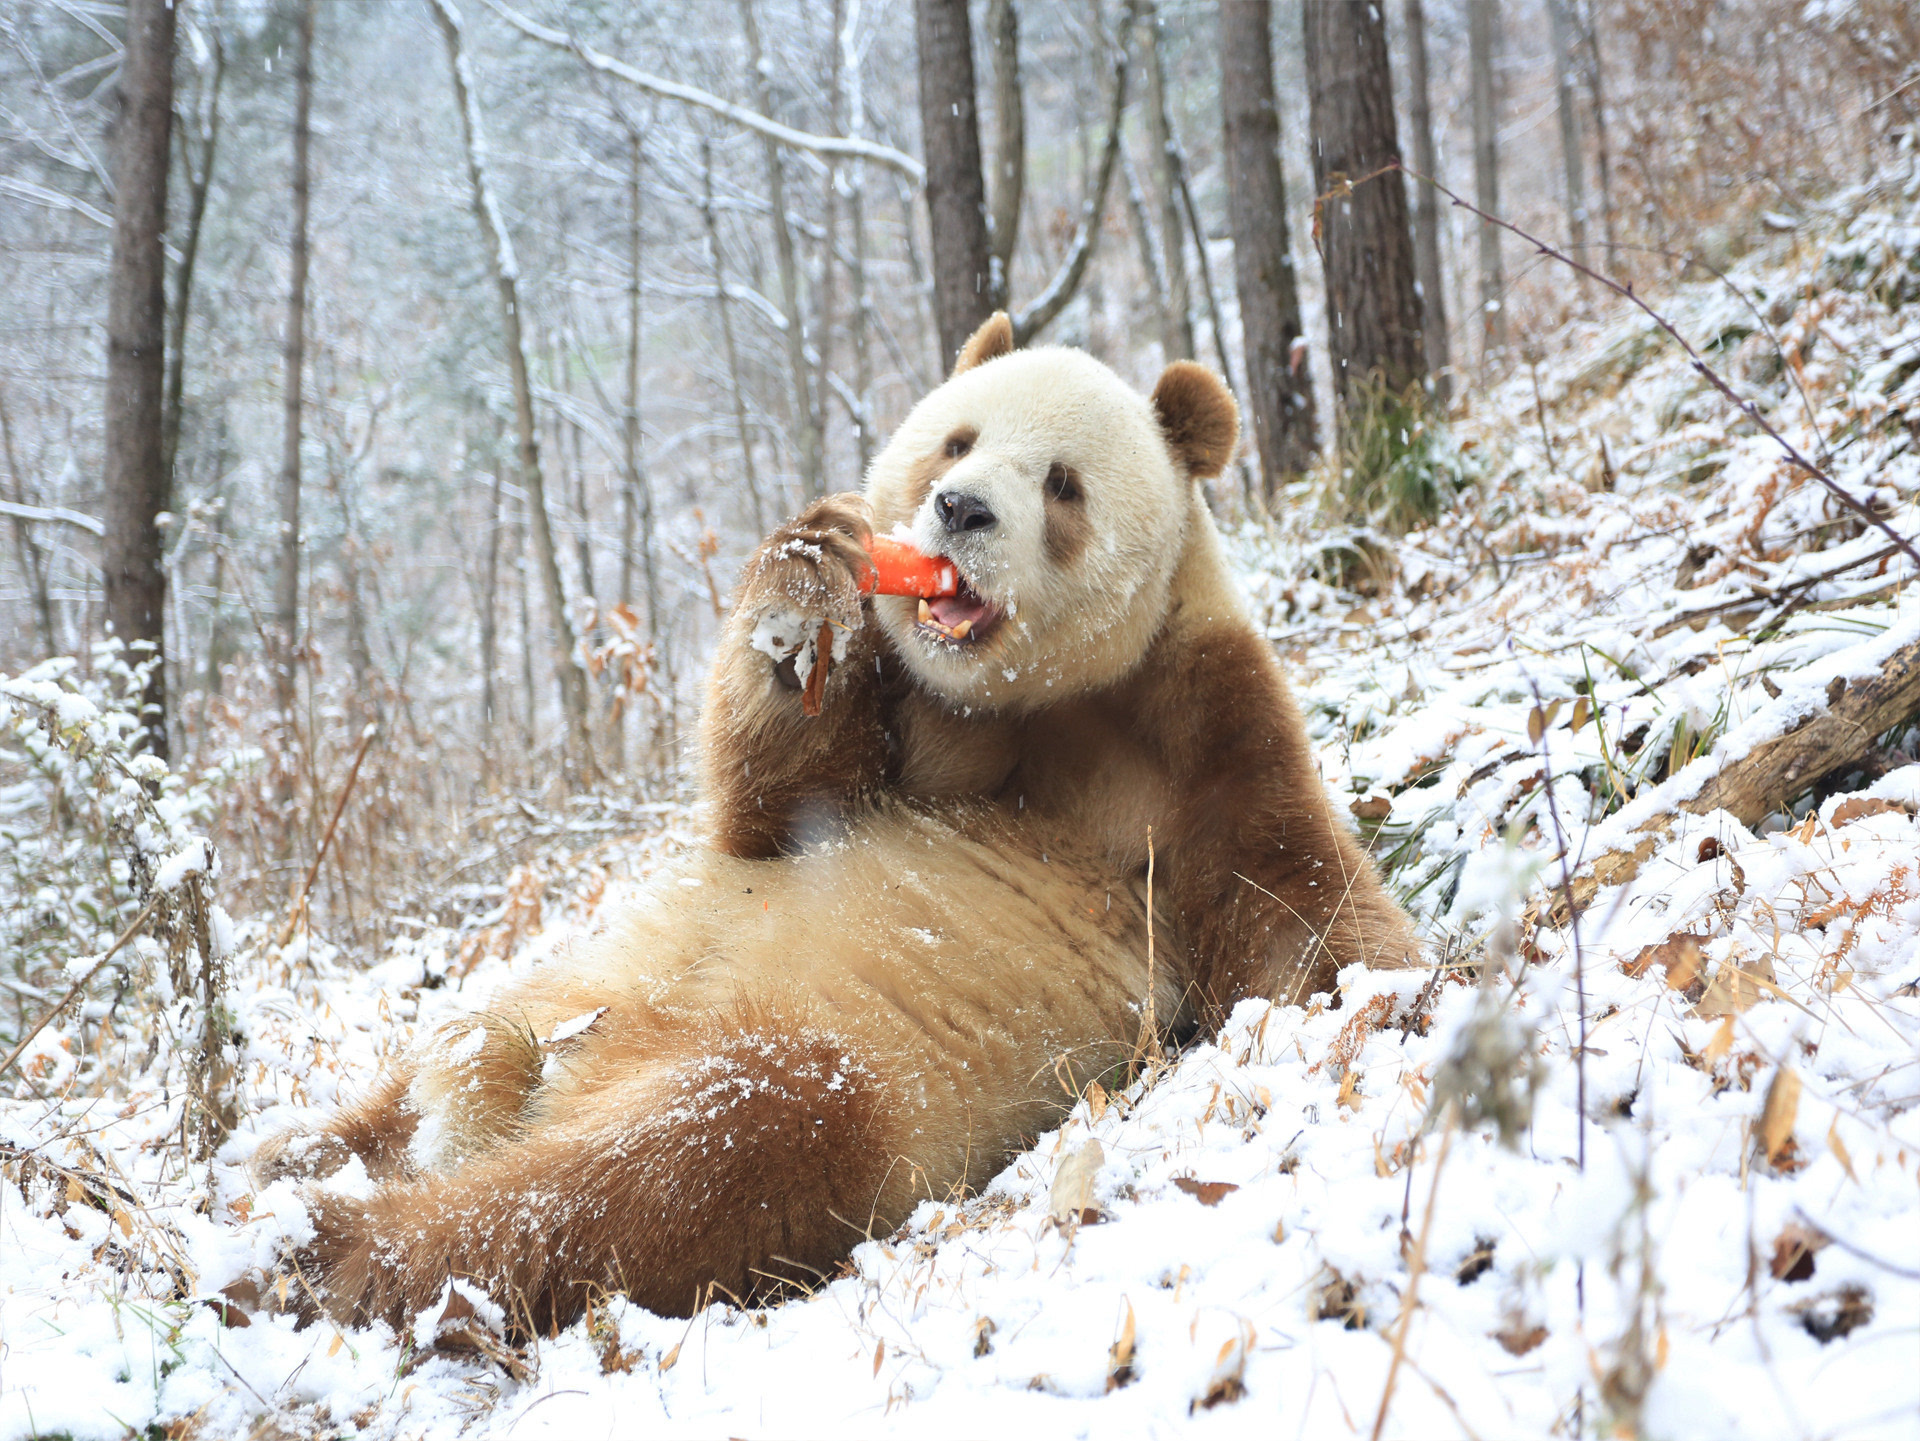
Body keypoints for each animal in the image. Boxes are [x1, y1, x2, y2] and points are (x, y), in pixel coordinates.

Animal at [251, 314, 1413, 1343]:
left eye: (1062, 484)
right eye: (958, 440)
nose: (958, 509)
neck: (1019, 704)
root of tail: (542, 1087)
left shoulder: (1196, 719)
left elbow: (1297, 904)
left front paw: (1381, 1011)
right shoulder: (902, 715)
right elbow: (771, 808)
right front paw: (807, 582)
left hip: (850, 1081)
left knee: (690, 1157)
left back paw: (339, 1245)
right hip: (604, 970)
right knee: (440, 1069)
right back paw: (289, 1165)